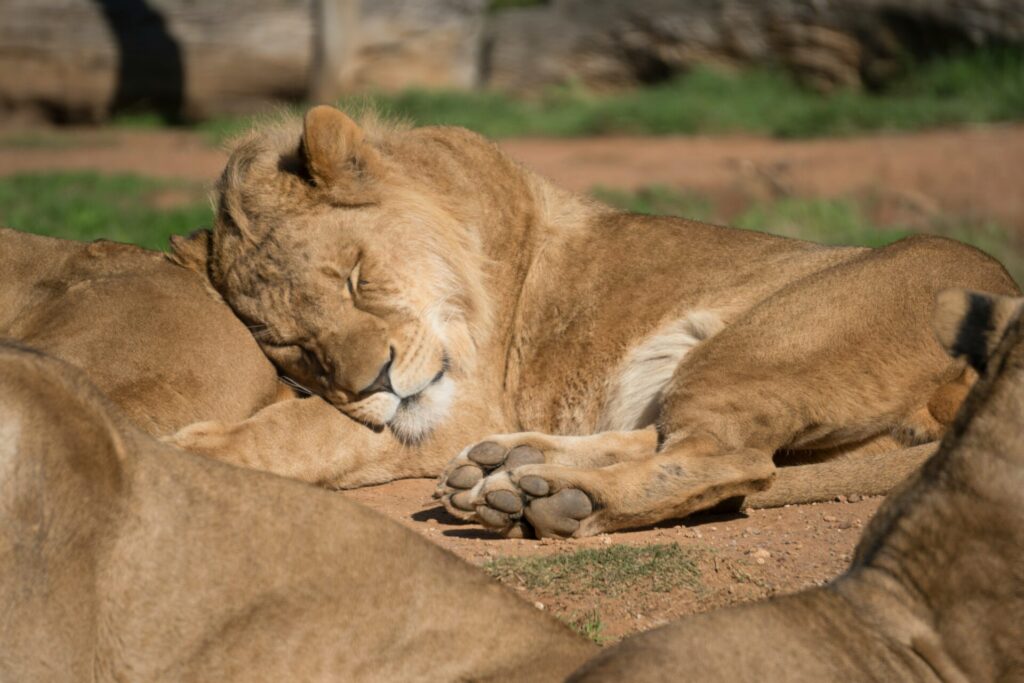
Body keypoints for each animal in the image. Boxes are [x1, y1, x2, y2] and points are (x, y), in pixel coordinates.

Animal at [159, 104, 1015, 540]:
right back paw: (507, 470)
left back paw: (552, 499)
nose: (375, 380)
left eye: (356, 276)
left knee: (729, 460)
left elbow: (310, 433)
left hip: (761, 342)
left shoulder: (465, 395)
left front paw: (195, 450)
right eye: (296, 351)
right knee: (674, 439)